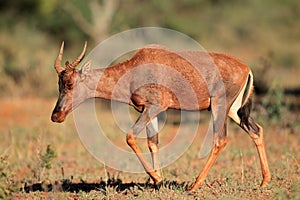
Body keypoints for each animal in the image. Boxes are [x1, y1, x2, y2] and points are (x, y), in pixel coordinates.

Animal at [50, 41, 270, 191]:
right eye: (59, 84)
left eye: (70, 83)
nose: (56, 116)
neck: (135, 68)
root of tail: (246, 68)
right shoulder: (148, 110)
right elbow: (152, 142)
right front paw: (158, 181)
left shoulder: (156, 106)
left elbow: (130, 136)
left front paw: (157, 178)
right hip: (235, 111)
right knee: (256, 130)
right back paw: (264, 181)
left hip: (219, 105)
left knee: (220, 139)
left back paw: (195, 185)